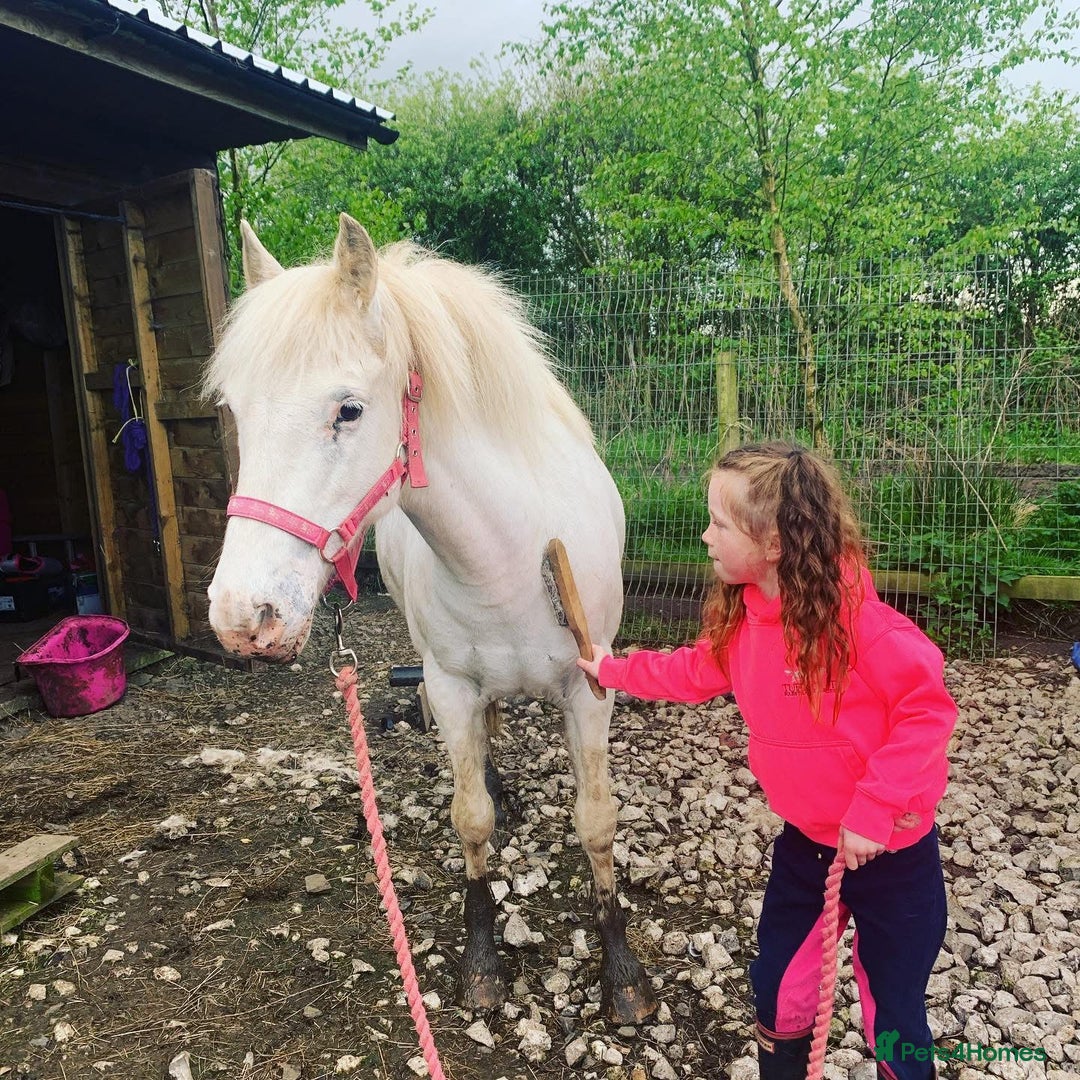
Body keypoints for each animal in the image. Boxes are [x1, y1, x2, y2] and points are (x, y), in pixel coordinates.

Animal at [204, 214, 657, 1024]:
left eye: (349, 409)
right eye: (234, 410)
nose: (241, 616)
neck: (509, 555)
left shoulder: (589, 688)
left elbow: (598, 820)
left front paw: (623, 974)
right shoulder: (448, 687)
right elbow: (470, 817)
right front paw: (482, 963)